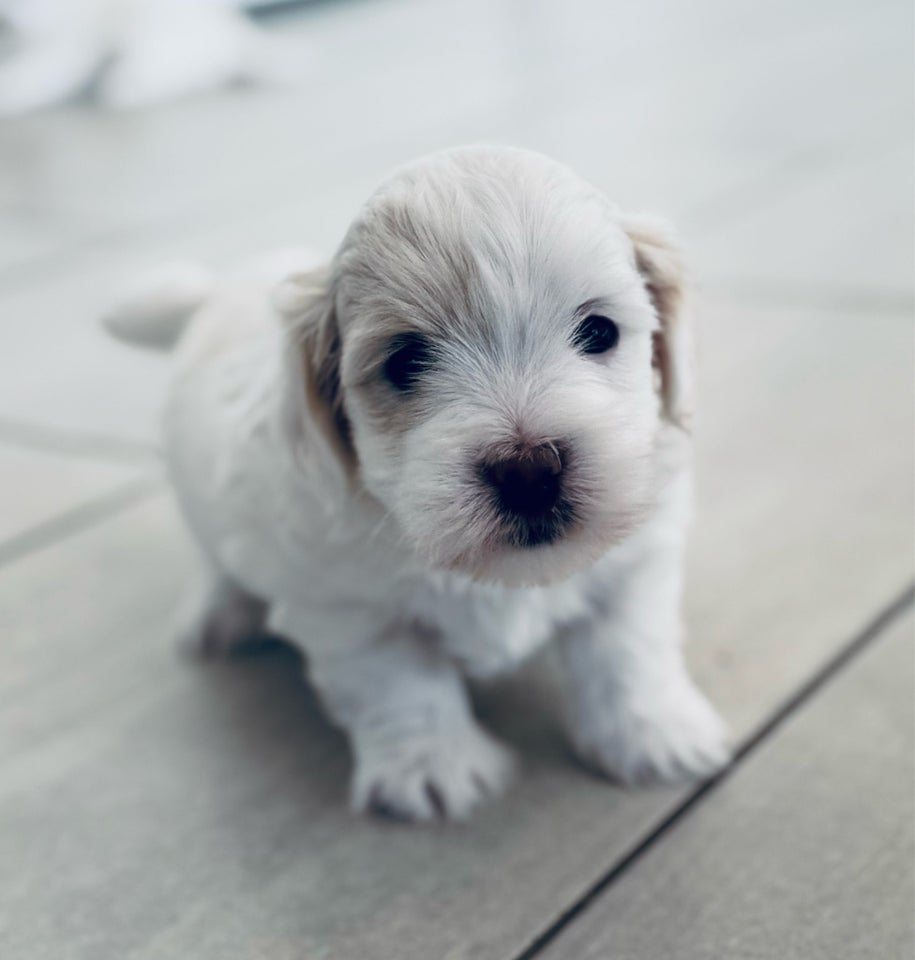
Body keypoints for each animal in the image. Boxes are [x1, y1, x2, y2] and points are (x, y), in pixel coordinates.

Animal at [104, 146, 728, 820]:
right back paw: (219, 611)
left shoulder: (638, 557)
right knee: (215, 556)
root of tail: (214, 293)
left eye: (599, 331)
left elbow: (628, 648)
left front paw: (654, 735)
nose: (529, 470)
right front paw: (435, 767)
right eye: (405, 362)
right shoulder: (345, 607)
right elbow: (401, 683)